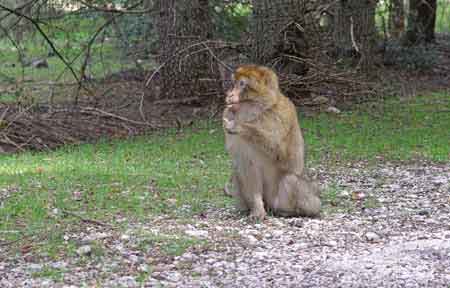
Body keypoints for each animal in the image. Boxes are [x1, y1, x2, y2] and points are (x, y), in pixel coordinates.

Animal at [221, 64, 320, 220]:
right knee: (238, 172)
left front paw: (240, 126)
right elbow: (246, 164)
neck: (260, 111)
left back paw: (290, 212)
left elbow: (283, 154)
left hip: (295, 199)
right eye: (234, 83)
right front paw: (257, 210)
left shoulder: (280, 116)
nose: (229, 94)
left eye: (242, 84)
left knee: (291, 179)